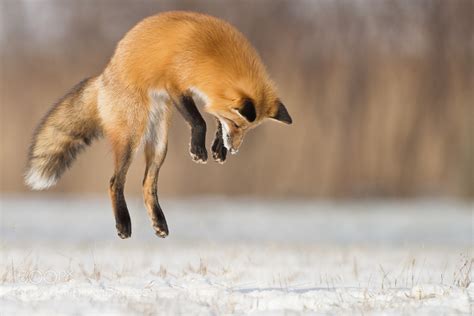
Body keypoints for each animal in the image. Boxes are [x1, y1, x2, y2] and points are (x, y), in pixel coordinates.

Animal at [26, 10, 292, 239]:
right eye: (237, 125)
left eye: (246, 129)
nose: (235, 149)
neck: (213, 53)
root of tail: (104, 77)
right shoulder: (175, 85)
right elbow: (199, 121)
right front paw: (199, 149)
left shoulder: (204, 95)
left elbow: (213, 118)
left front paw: (218, 148)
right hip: (132, 136)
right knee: (114, 182)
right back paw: (123, 224)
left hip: (159, 144)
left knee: (147, 184)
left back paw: (159, 222)